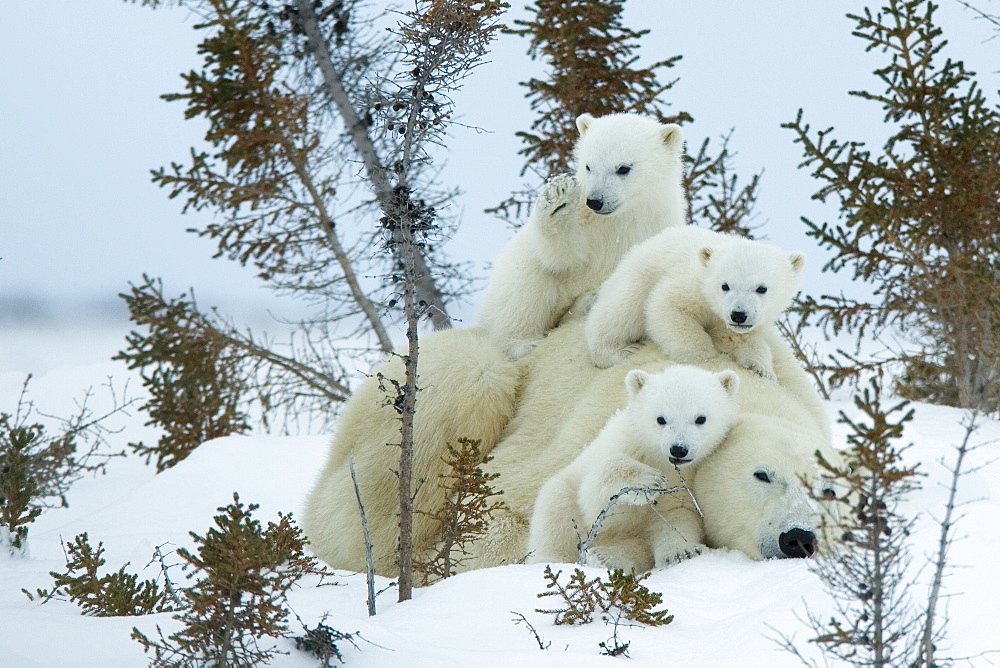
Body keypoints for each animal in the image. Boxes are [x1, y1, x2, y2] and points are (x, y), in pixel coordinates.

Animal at [478, 113, 688, 360]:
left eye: (623, 168)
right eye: (589, 166)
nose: (595, 201)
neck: (621, 219)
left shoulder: (655, 227)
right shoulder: (585, 221)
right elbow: (564, 257)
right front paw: (557, 201)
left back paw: (587, 303)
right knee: (524, 283)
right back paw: (524, 343)